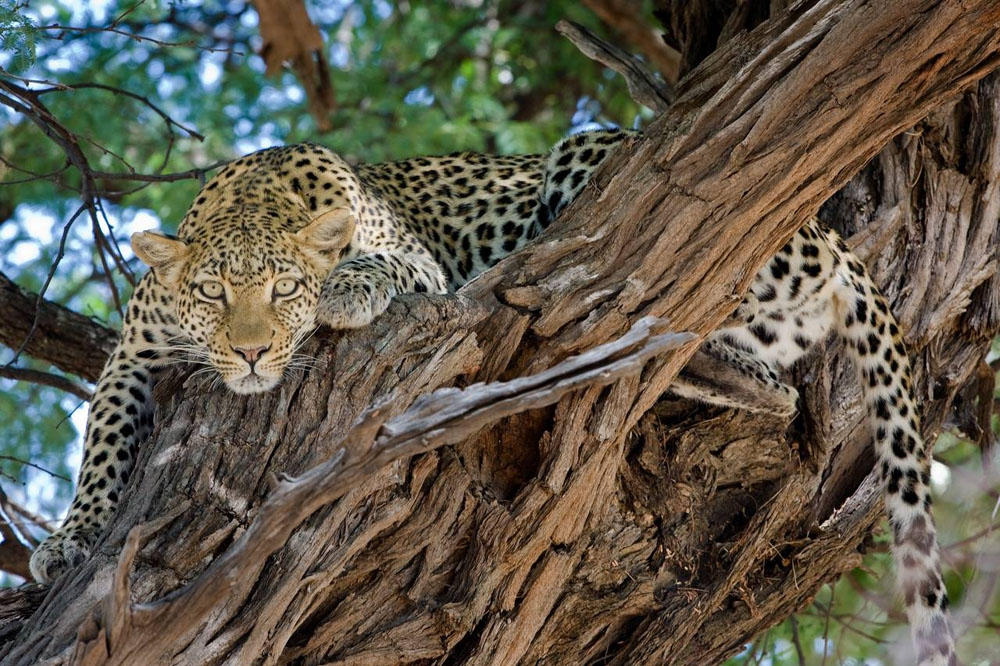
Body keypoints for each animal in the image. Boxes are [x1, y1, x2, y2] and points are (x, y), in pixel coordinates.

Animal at [29, 130, 952, 664]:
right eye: (213, 294)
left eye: (285, 289)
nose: (253, 352)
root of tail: (830, 231)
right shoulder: (132, 354)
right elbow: (101, 450)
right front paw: (69, 542)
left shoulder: (420, 268)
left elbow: (385, 264)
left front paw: (348, 291)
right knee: (756, 378)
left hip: (599, 160)